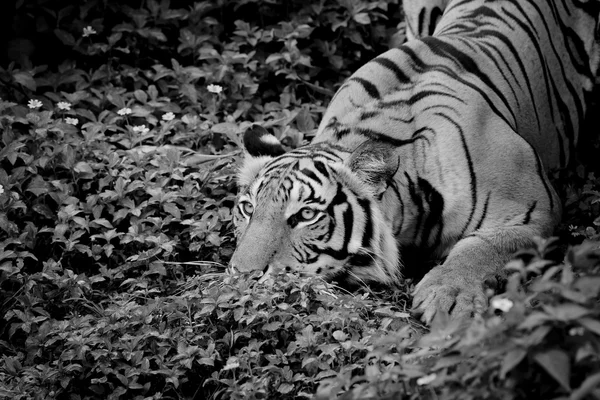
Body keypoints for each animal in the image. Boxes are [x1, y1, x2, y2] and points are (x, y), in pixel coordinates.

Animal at [230, 0, 600, 324]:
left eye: (307, 215)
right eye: (248, 209)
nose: (243, 277)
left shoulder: (534, 207)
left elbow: (484, 246)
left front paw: (448, 296)